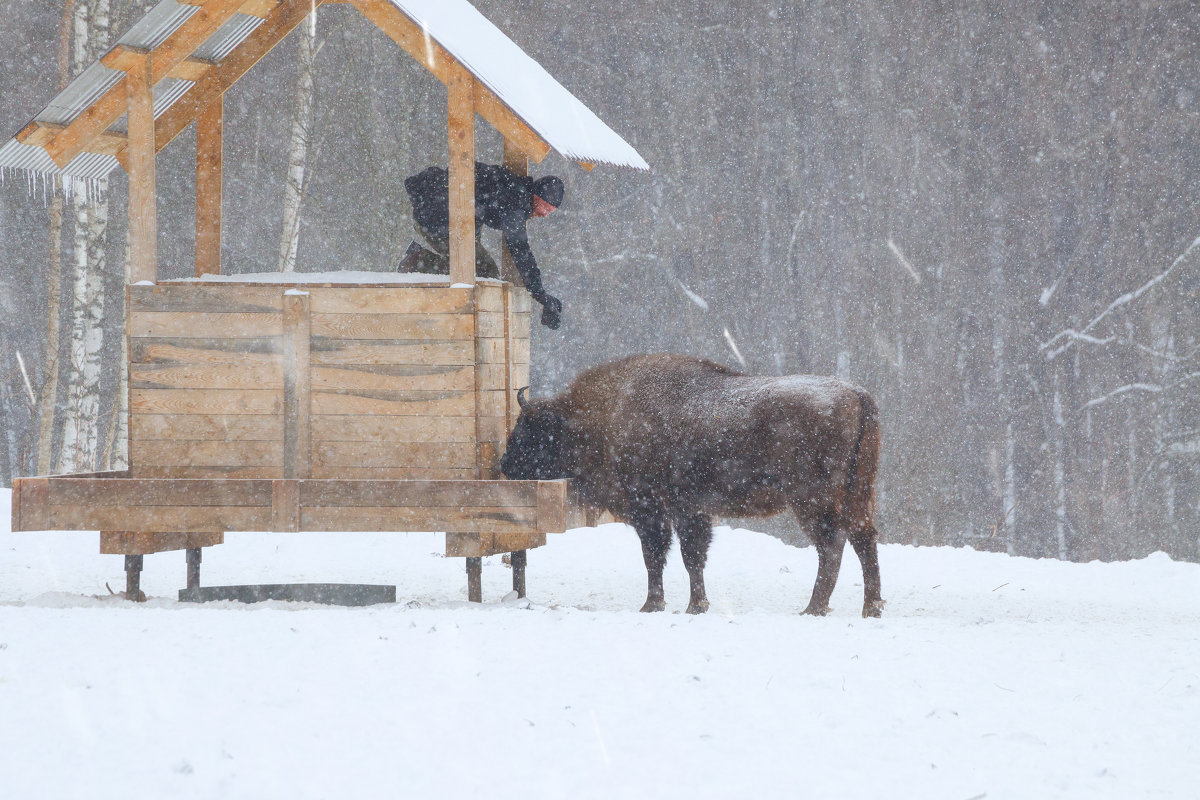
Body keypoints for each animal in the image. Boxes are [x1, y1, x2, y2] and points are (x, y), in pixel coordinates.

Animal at [496, 352, 883, 618]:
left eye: (531, 431)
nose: (504, 465)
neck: (605, 416)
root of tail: (857, 394)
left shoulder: (653, 511)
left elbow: (658, 556)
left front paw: (655, 605)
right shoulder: (692, 512)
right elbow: (692, 557)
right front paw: (696, 605)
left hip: (813, 501)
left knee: (832, 544)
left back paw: (813, 608)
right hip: (859, 493)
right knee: (864, 539)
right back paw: (872, 608)